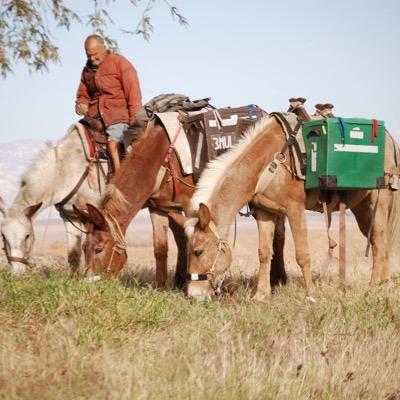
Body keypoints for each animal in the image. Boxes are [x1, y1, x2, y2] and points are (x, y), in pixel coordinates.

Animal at [0, 126, 106, 276]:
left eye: (27, 236)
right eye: (3, 236)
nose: (17, 272)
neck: (66, 170)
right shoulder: (70, 215)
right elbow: (73, 254)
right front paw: (74, 278)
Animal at [74, 118, 288, 288]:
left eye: (99, 249)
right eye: (84, 249)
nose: (89, 285)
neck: (162, 157)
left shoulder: (190, 205)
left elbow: (188, 242)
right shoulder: (158, 207)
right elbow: (160, 248)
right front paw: (161, 286)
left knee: (278, 235)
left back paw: (279, 279)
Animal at [173, 114, 400, 302]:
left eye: (198, 251)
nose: (193, 295)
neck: (268, 163)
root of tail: (391, 140)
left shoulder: (295, 209)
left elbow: (302, 254)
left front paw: (311, 295)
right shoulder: (265, 213)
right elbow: (264, 253)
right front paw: (261, 295)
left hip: (379, 201)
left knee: (379, 243)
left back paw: (375, 287)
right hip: (362, 210)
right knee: (379, 242)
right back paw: (384, 285)